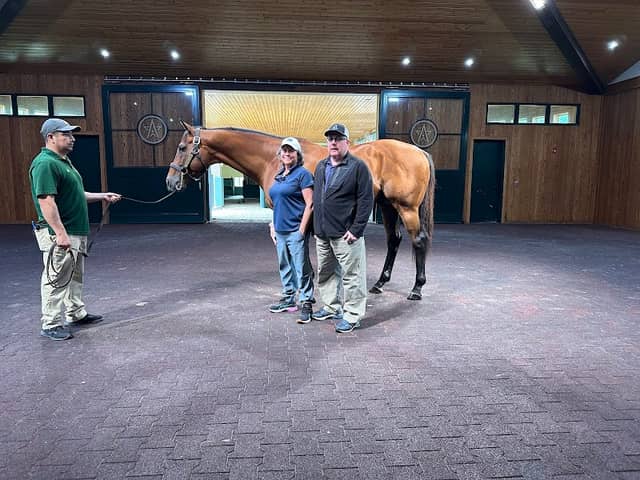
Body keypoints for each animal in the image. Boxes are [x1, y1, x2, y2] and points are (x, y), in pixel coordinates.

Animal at [166, 121, 435, 300]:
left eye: (181, 147)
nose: (170, 181)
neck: (275, 158)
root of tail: (418, 151)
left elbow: (296, 247)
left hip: (406, 208)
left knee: (418, 241)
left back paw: (417, 288)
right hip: (388, 207)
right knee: (394, 241)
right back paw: (380, 283)